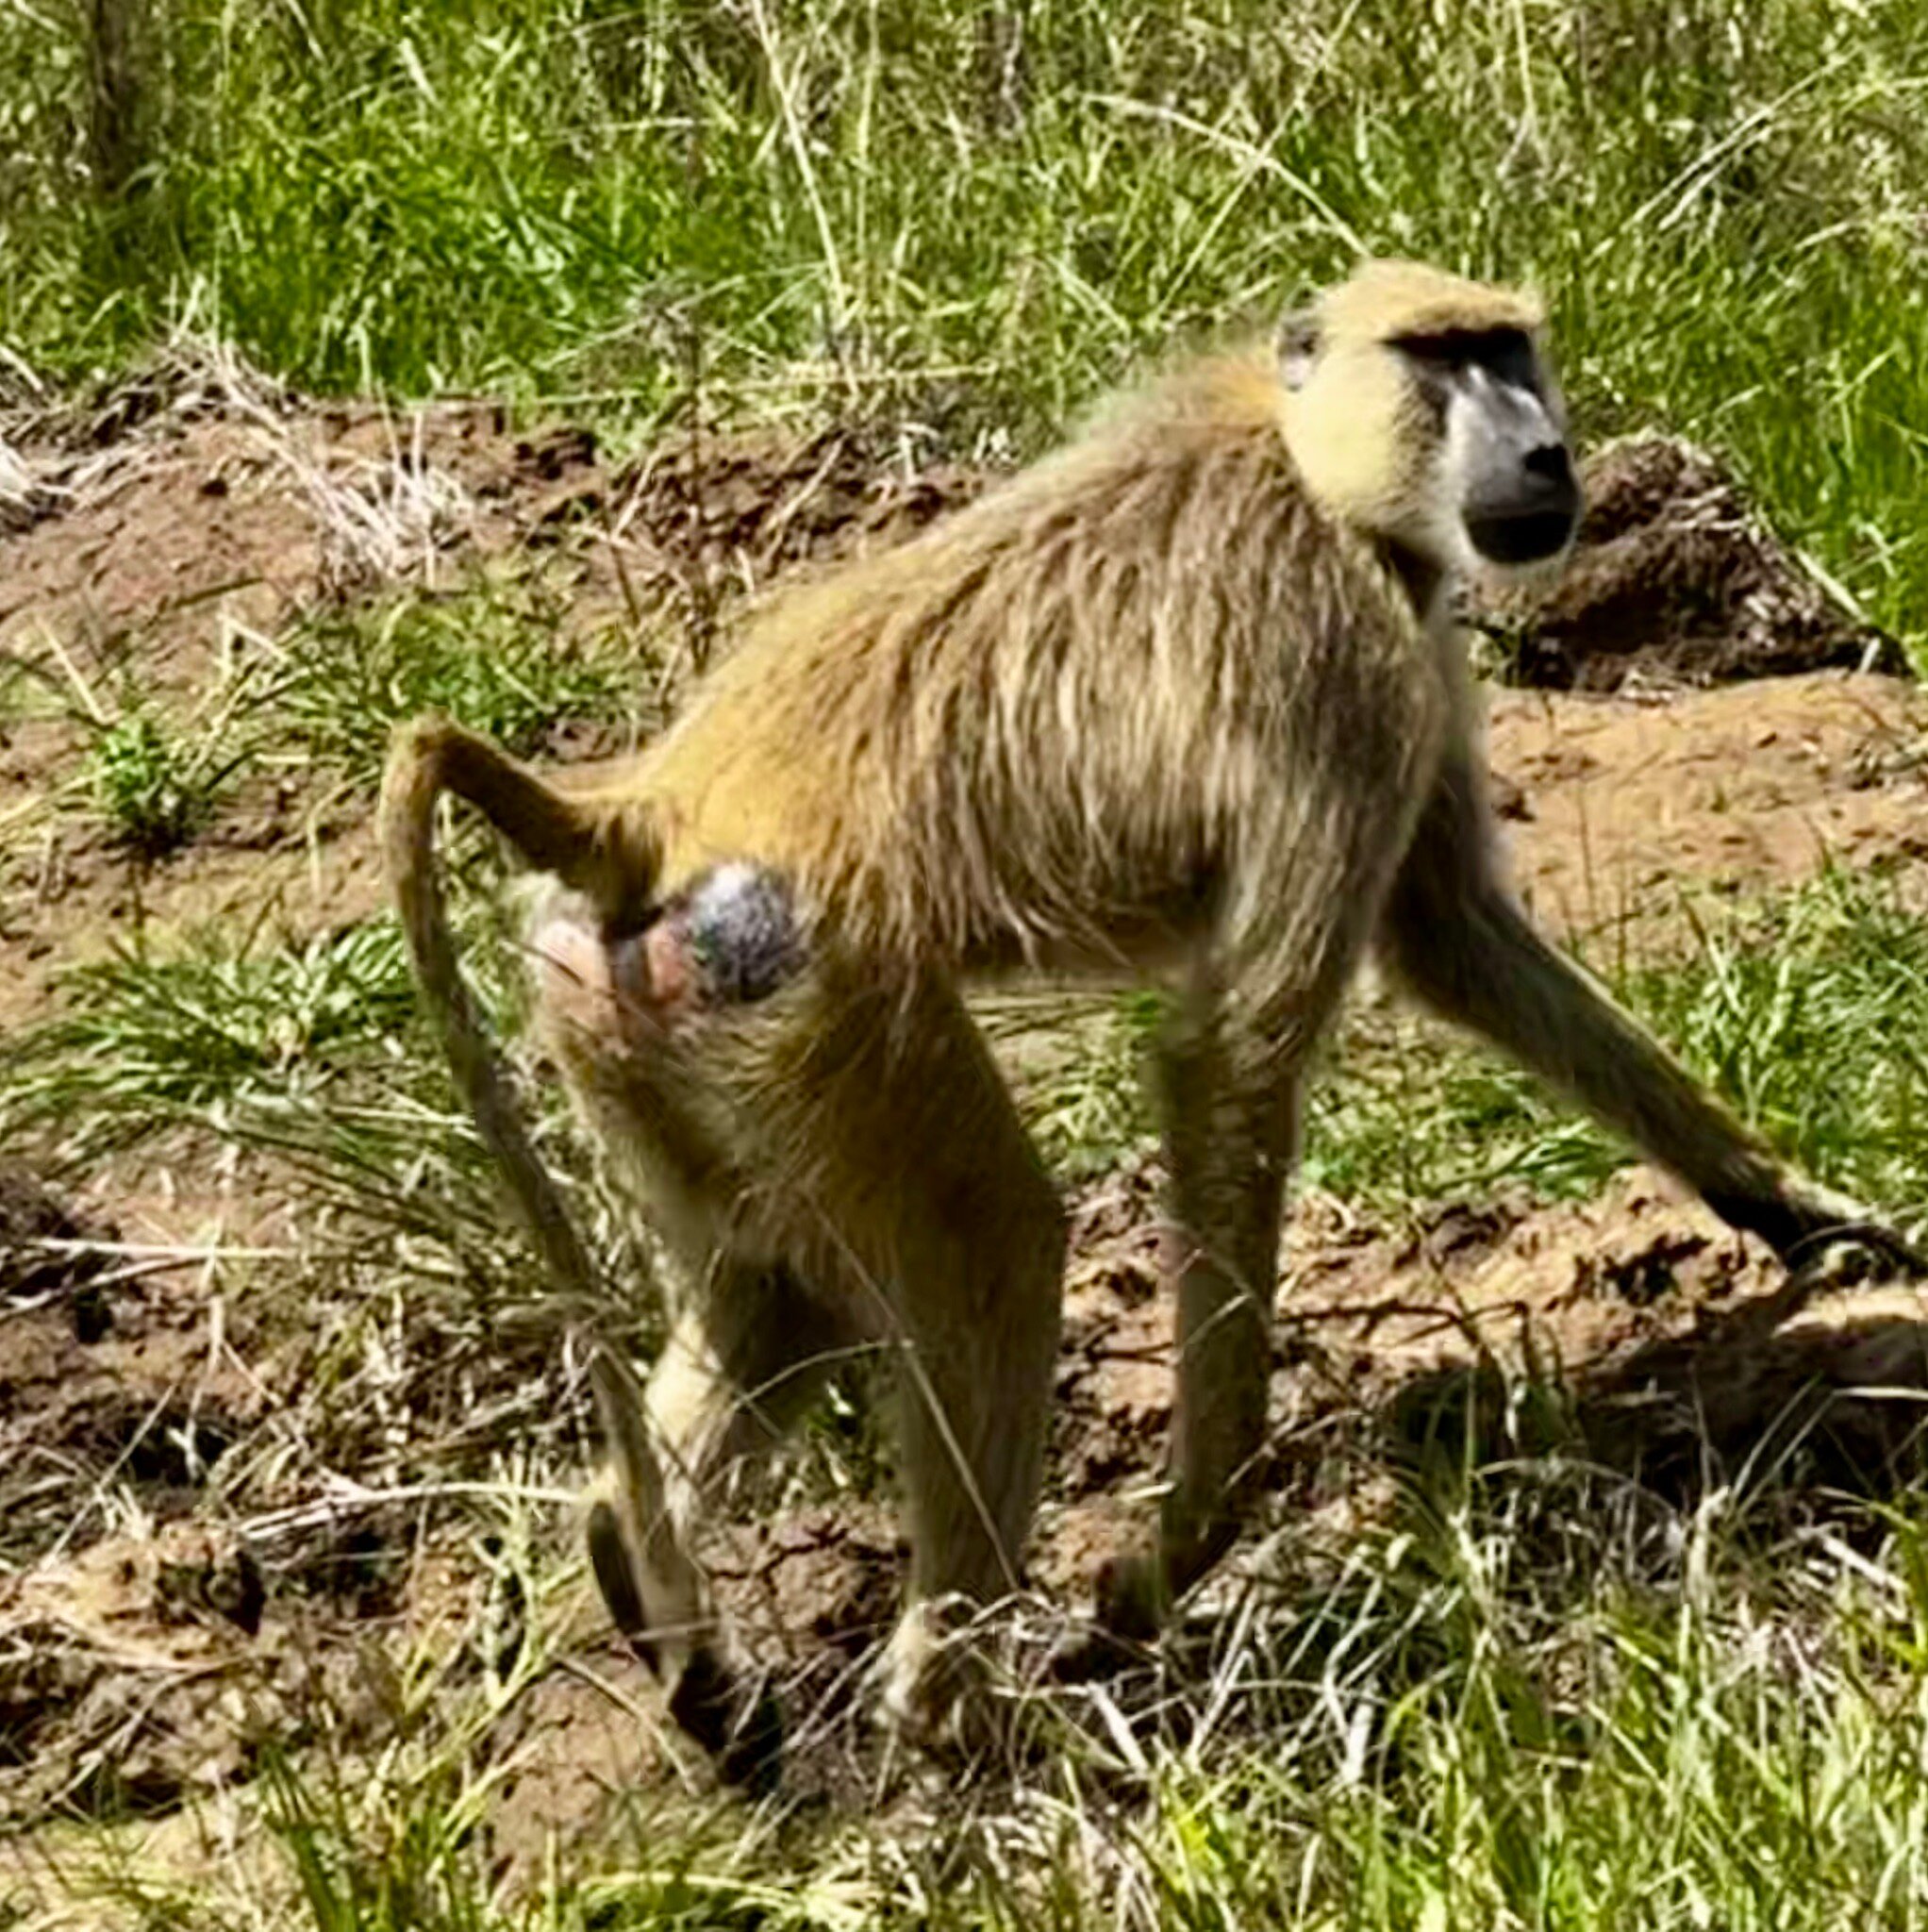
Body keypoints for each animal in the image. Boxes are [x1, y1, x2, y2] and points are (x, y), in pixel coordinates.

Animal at [381, 259, 1923, 1785]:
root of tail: (642, 816)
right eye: (1439, 358)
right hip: (808, 994)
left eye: (1509, 348)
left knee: (780, 1296)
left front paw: (1793, 1212)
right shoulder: (1338, 653)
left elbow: (1454, 940)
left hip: (636, 1025)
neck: (1306, 458)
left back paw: (658, 1598)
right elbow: (1234, 1051)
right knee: (992, 1250)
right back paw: (957, 1725)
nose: (1546, 451)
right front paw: (1178, 1548)